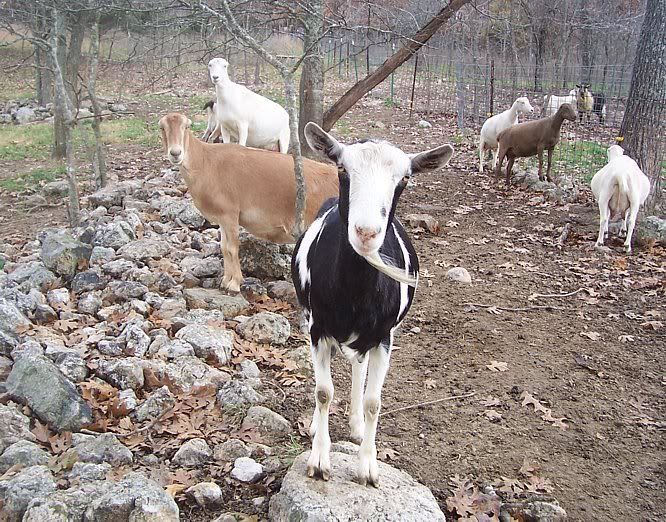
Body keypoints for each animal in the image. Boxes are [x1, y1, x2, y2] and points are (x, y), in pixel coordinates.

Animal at [158, 113, 338, 292]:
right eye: (162, 127)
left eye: (186, 126)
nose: (175, 153)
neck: (206, 163)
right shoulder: (222, 218)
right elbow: (224, 248)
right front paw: (225, 281)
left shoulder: (230, 213)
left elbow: (232, 248)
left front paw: (235, 283)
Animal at [292, 122, 454, 487]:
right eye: (341, 168)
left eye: (405, 178)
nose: (366, 232)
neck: (354, 294)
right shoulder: (318, 328)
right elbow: (323, 392)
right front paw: (319, 460)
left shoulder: (384, 336)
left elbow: (373, 402)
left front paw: (368, 467)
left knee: (359, 367)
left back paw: (354, 426)